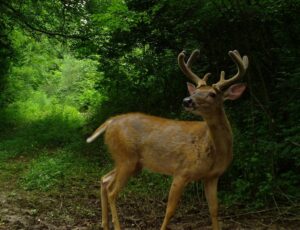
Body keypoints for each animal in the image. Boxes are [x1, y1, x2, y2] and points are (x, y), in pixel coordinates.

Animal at [86, 49, 248, 229]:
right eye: (195, 91)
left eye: (212, 94)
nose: (187, 100)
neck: (214, 148)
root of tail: (110, 121)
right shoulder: (182, 171)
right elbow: (170, 210)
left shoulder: (212, 176)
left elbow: (214, 210)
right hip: (126, 157)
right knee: (112, 191)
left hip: (132, 162)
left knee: (104, 179)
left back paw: (105, 224)